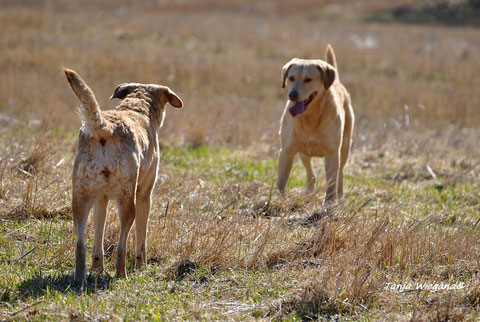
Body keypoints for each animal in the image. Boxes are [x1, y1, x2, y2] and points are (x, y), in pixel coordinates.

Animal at [63, 67, 182, 284]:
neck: (137, 108)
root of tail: (106, 129)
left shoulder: (100, 199)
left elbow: (98, 237)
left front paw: (97, 268)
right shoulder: (144, 194)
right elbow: (141, 237)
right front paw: (141, 265)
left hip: (79, 200)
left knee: (80, 244)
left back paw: (80, 279)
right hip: (127, 201)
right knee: (121, 246)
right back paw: (121, 274)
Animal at [278, 44, 352, 205]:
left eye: (308, 79)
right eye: (291, 78)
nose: (292, 94)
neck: (309, 117)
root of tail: (336, 81)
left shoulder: (332, 153)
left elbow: (331, 182)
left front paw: (330, 203)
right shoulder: (286, 151)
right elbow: (281, 182)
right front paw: (276, 199)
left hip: (345, 148)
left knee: (340, 174)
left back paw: (340, 194)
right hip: (303, 153)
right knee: (311, 175)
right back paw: (308, 193)